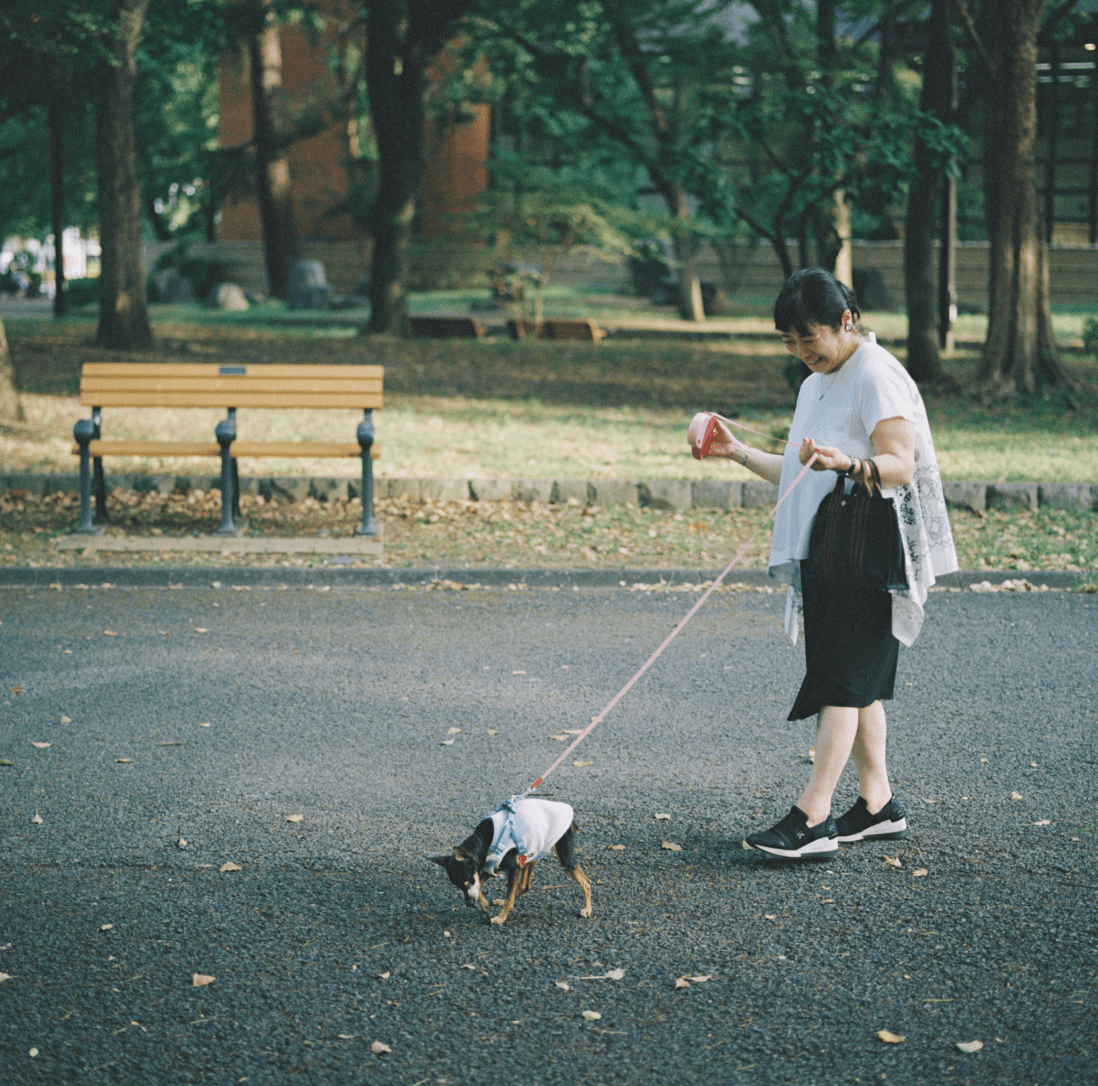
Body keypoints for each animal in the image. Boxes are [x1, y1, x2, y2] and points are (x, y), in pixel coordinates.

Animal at [432, 795, 597, 922]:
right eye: (457, 885)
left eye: (467, 879)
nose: (468, 903)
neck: (486, 839)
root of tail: (569, 815)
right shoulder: (489, 867)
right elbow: (482, 887)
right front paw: (484, 903)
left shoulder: (512, 868)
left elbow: (508, 893)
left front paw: (501, 917)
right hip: (533, 854)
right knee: (525, 886)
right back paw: (502, 900)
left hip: (564, 858)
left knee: (586, 882)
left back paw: (587, 908)